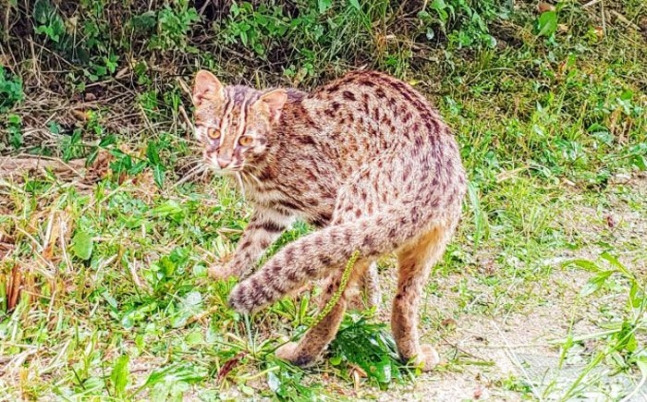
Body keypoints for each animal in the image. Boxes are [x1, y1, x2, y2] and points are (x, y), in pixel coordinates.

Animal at [192, 69, 466, 370]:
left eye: (245, 140)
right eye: (214, 132)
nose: (222, 161)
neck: (271, 146)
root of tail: (435, 181)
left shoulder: (324, 206)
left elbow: (364, 274)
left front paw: (367, 303)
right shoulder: (273, 212)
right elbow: (248, 246)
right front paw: (225, 274)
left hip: (353, 205)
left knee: (335, 300)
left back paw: (297, 355)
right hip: (426, 245)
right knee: (405, 301)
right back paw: (413, 357)